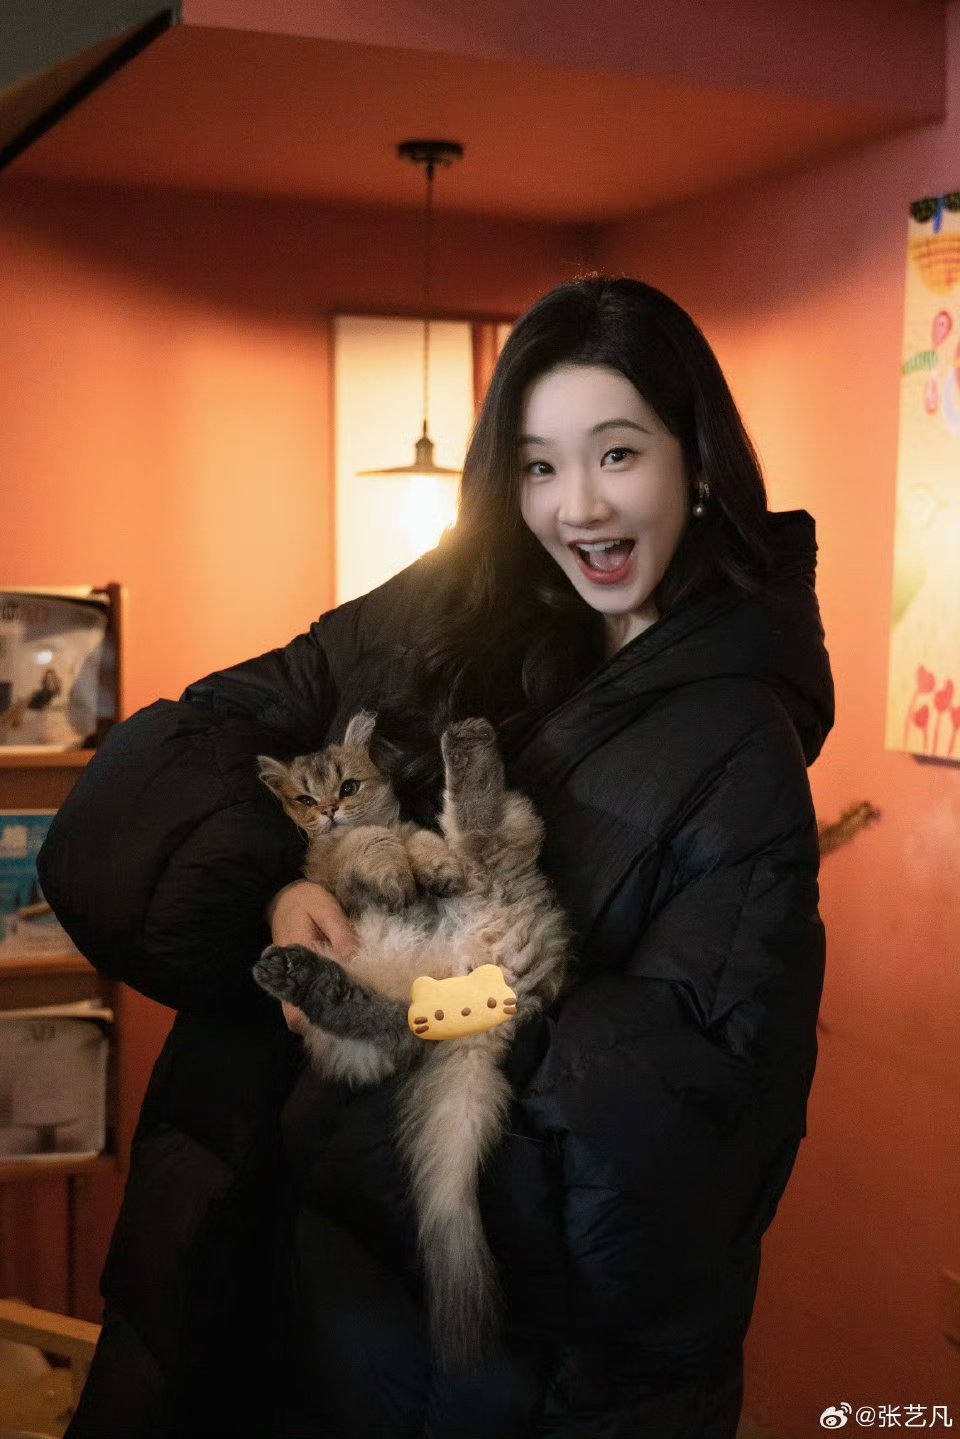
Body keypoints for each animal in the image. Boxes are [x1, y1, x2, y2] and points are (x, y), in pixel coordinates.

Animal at [252, 710, 571, 1370]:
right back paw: (294, 973)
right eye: (305, 799)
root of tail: (478, 1007)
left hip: (493, 871)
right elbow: (369, 849)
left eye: (347, 786)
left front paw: (422, 869)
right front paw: (392, 872)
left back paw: (466, 743)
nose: (328, 810)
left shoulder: (408, 835)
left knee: (472, 829)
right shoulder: (335, 865)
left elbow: (418, 843)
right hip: (371, 1035)